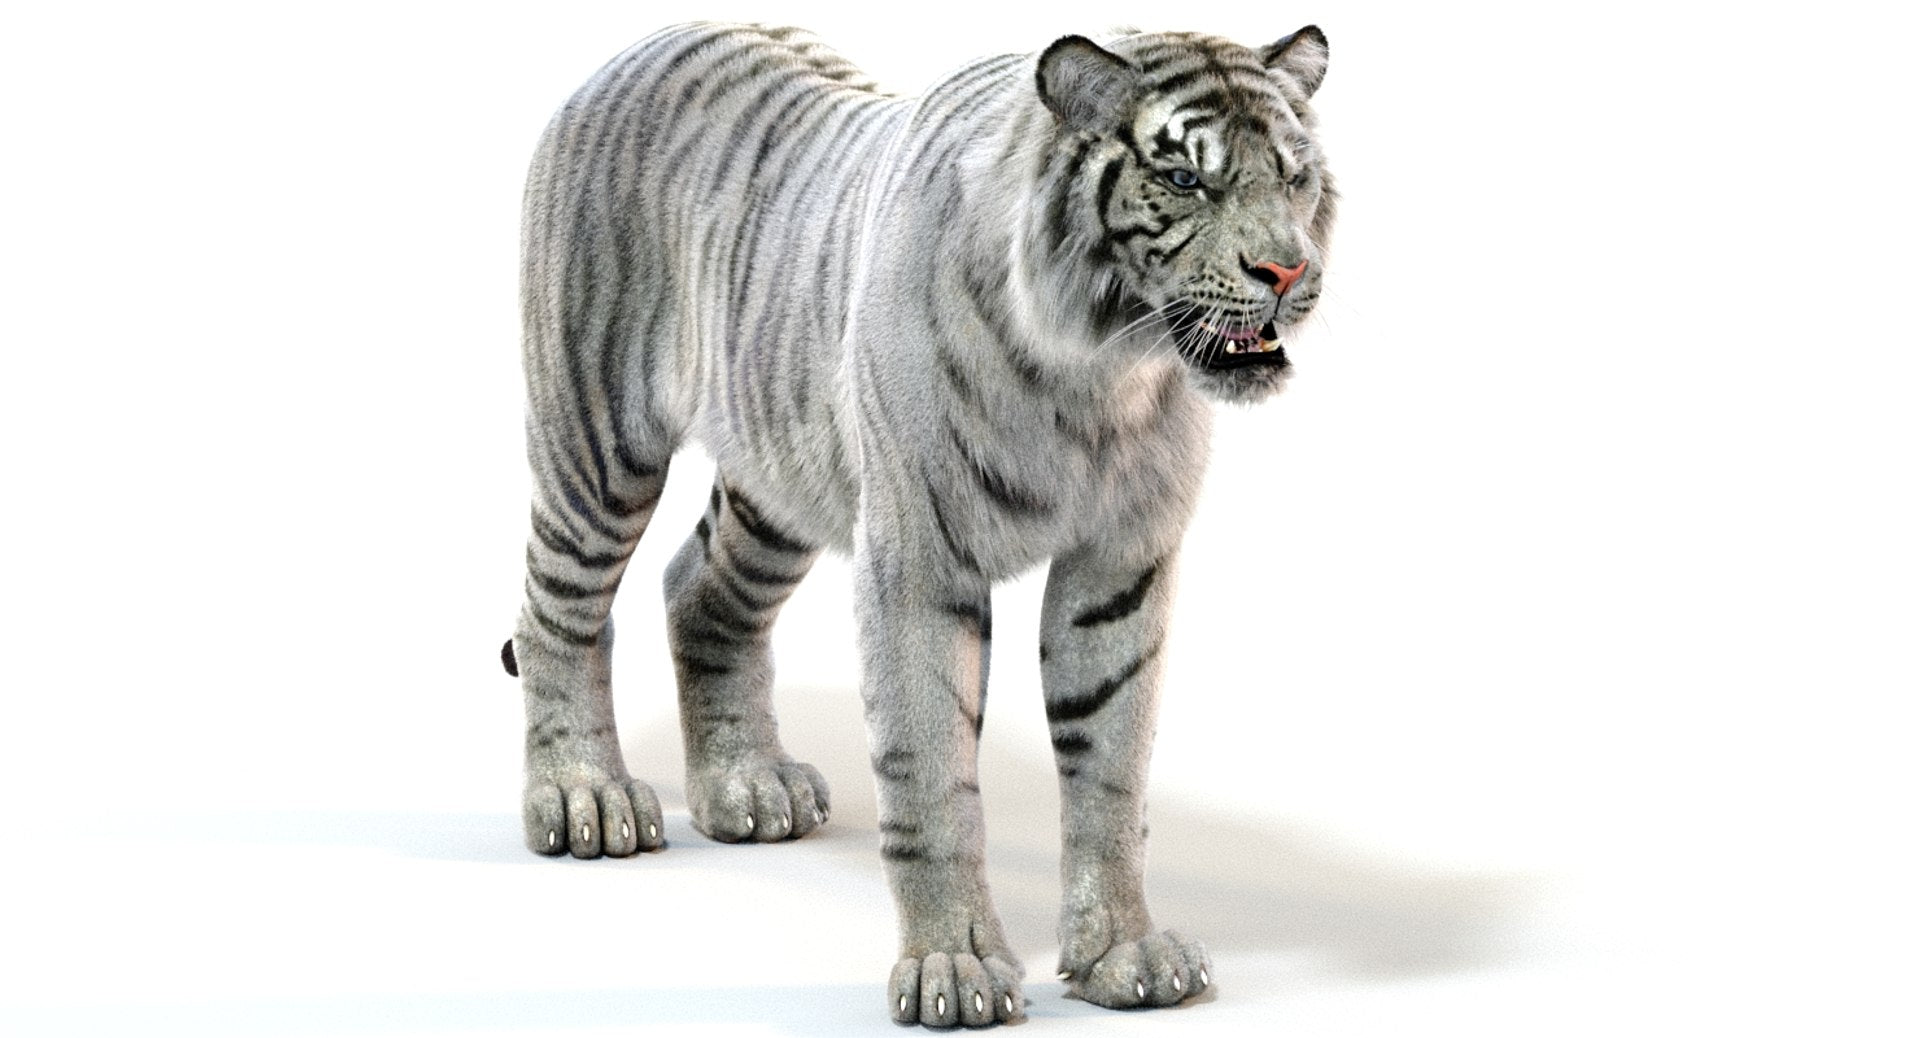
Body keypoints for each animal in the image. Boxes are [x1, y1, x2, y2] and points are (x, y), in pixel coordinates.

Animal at [502, 22, 1335, 1027]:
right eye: (1183, 179)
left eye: (1294, 177)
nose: (1288, 270)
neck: (1099, 374)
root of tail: (645, 42)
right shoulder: (919, 564)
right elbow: (933, 778)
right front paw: (955, 970)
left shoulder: (1121, 567)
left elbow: (1111, 768)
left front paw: (1122, 956)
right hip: (597, 439)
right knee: (557, 614)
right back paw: (584, 799)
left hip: (782, 476)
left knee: (698, 591)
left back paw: (747, 785)